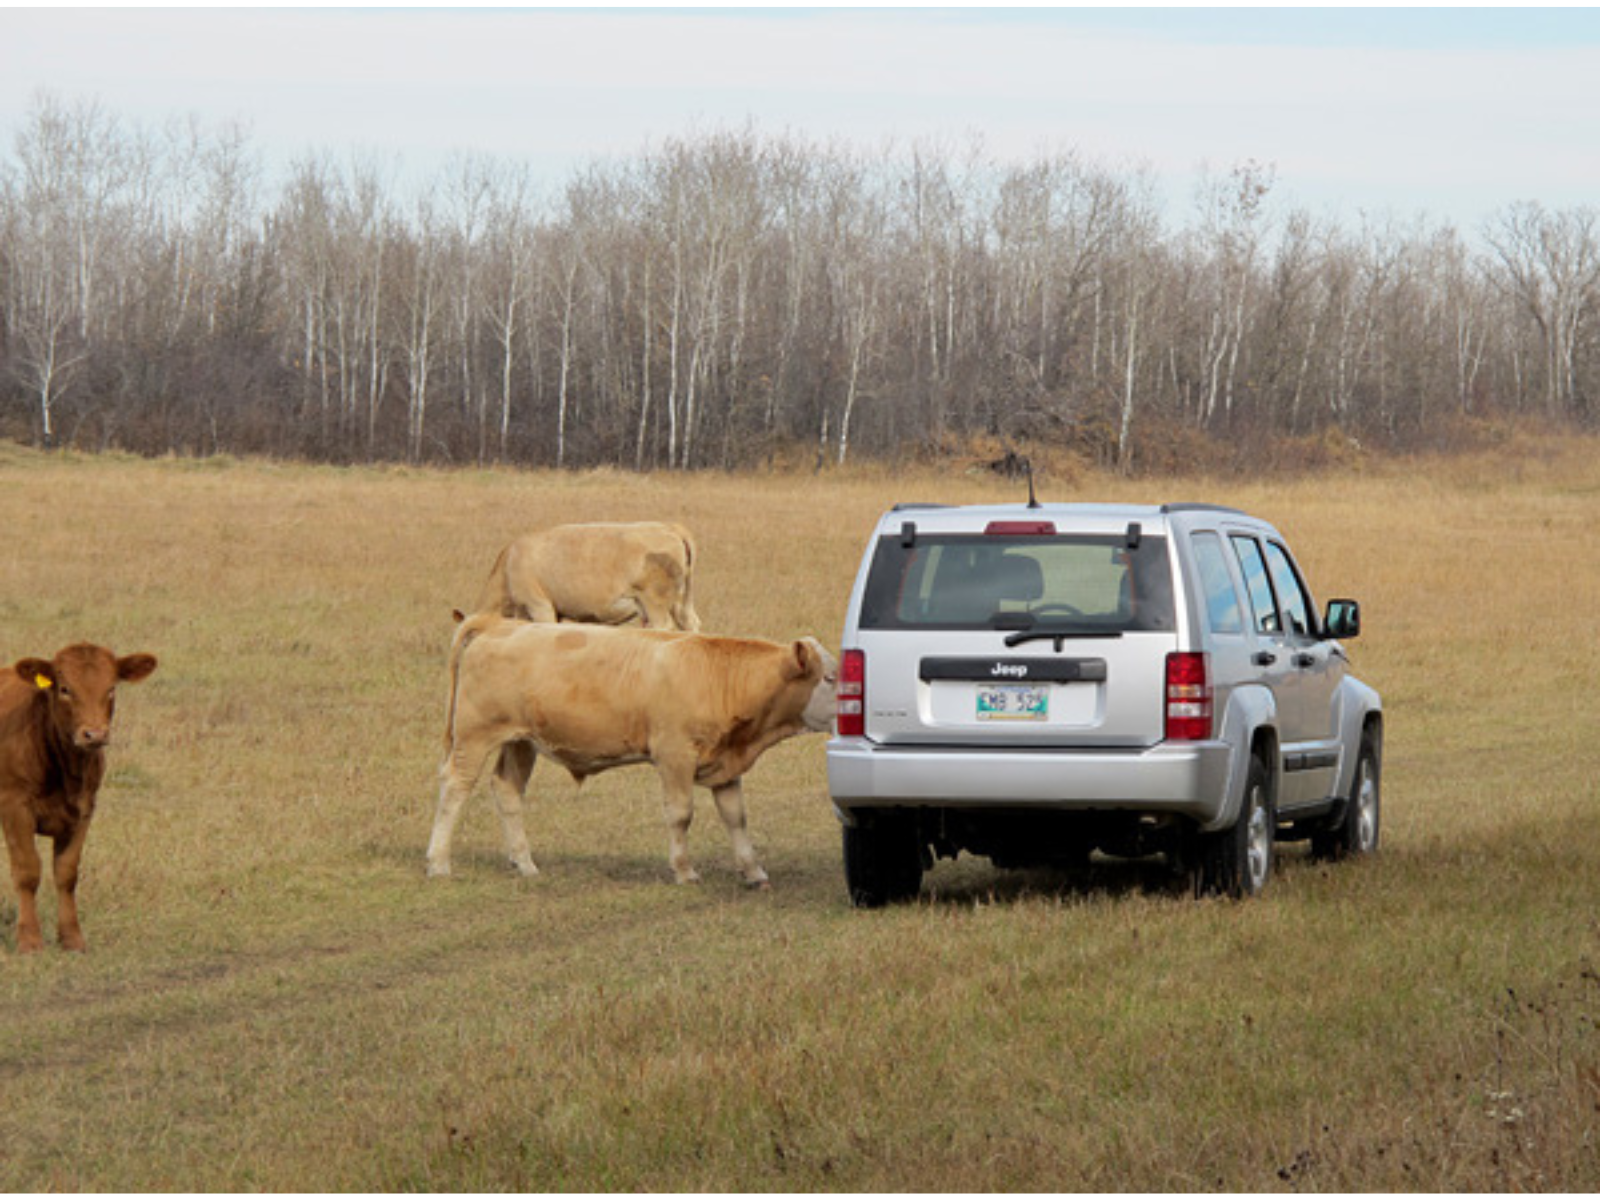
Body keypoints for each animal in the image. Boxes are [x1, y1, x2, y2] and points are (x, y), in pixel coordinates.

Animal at [0, 643, 157, 953]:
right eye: (64, 689)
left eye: (111, 688)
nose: (94, 734)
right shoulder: (15, 807)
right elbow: (27, 870)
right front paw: (30, 939)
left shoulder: (84, 810)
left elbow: (66, 873)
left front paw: (72, 938)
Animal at [432, 614, 844, 889]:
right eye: (828, 678)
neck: (716, 676)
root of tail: (499, 624)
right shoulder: (674, 756)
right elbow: (680, 814)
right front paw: (684, 870)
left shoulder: (726, 766)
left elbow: (736, 818)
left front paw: (753, 871)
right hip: (475, 736)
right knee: (455, 788)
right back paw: (438, 862)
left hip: (520, 743)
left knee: (507, 791)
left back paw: (525, 863)